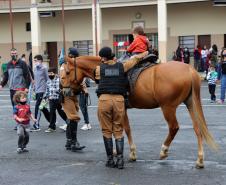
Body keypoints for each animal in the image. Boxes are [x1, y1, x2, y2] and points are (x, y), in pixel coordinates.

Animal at [62, 55, 218, 168]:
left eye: (67, 72)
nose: (64, 91)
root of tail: (189, 69)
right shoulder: (122, 109)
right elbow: (122, 129)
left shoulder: (121, 108)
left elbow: (125, 129)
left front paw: (131, 153)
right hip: (190, 103)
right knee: (197, 129)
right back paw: (200, 159)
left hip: (168, 107)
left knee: (174, 127)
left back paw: (164, 150)